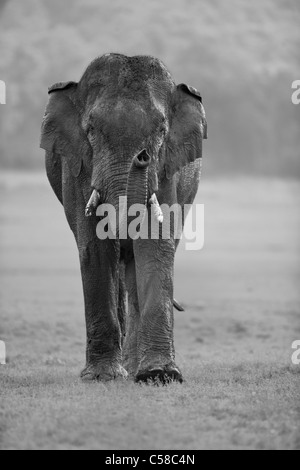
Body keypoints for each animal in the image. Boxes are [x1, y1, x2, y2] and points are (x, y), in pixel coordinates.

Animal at [40, 53, 206, 384]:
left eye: (161, 132)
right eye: (91, 130)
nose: (142, 156)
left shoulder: (167, 170)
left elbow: (155, 243)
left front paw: (160, 376)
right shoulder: (78, 167)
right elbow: (95, 247)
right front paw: (101, 376)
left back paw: (133, 368)